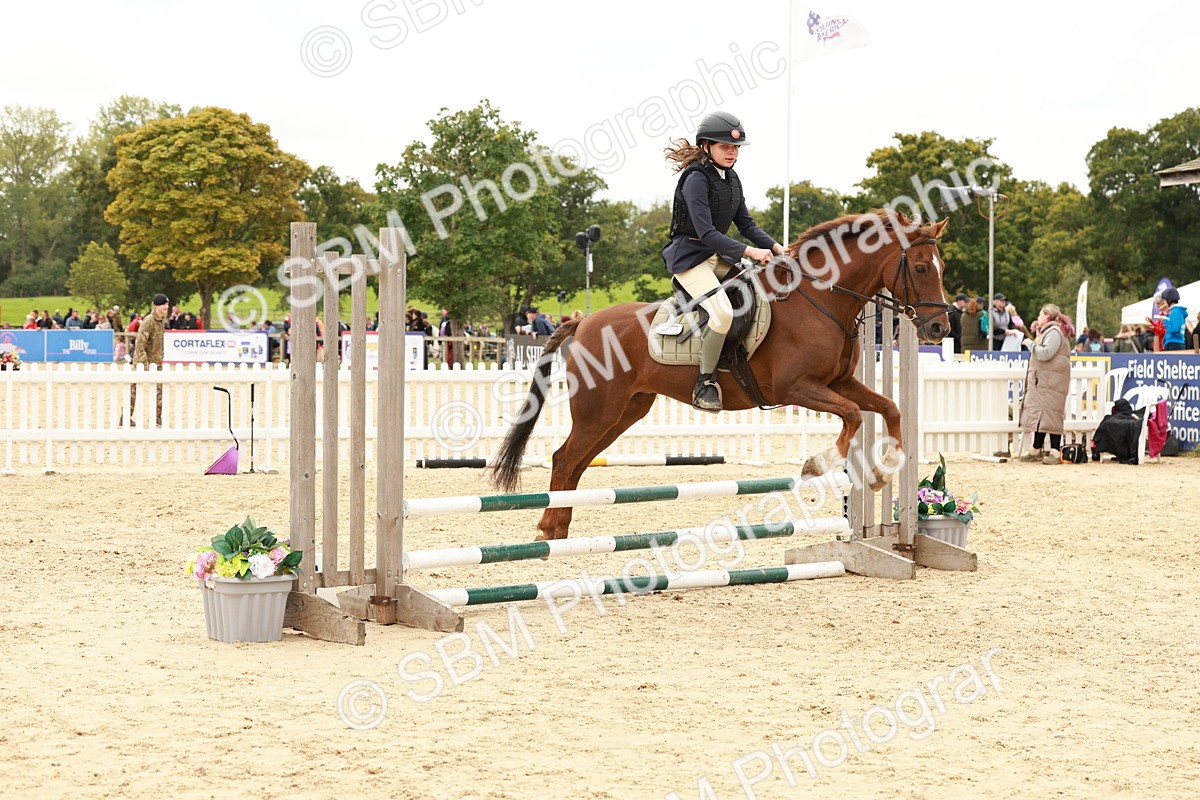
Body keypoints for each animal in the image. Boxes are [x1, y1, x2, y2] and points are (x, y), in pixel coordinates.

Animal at [491, 210, 951, 540]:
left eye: (942, 266)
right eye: (922, 269)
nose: (939, 329)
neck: (819, 299)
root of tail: (582, 322)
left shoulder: (839, 383)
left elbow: (888, 409)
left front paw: (882, 472)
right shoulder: (797, 388)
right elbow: (854, 415)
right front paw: (817, 464)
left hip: (625, 412)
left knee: (577, 463)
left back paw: (560, 527)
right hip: (598, 409)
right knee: (565, 458)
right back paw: (550, 528)